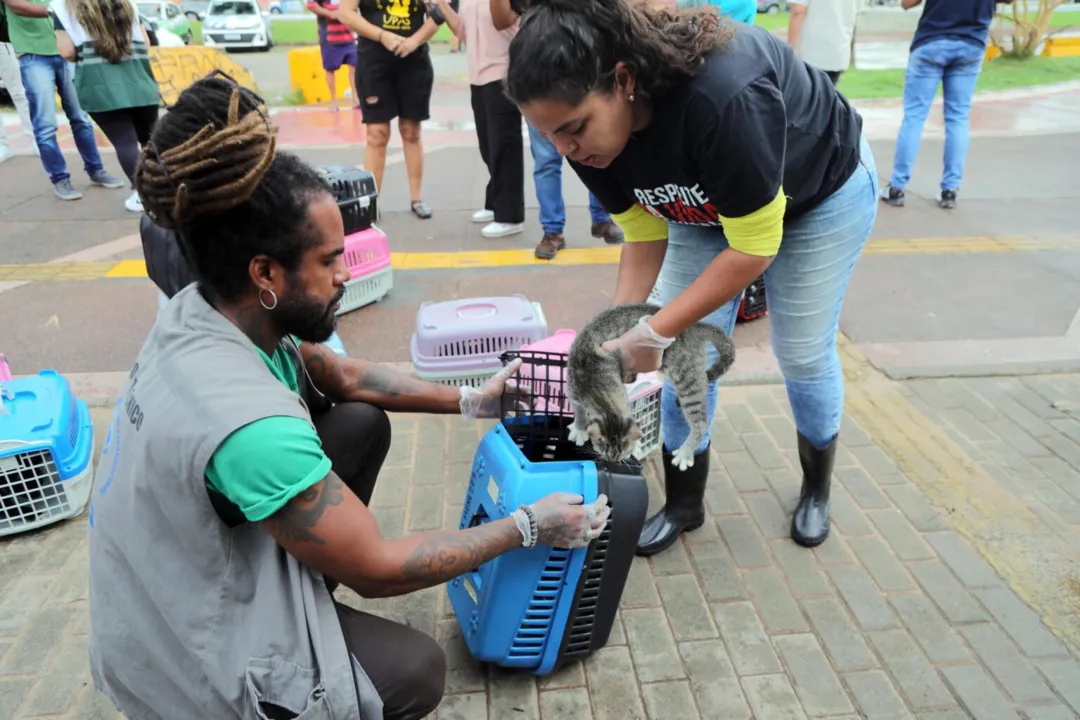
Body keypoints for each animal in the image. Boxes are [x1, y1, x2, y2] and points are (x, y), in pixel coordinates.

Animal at [565, 302, 734, 468]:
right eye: (603, 448)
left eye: (623, 449)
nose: (614, 460)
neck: (593, 382)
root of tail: (695, 326)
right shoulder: (573, 392)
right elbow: (579, 413)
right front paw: (579, 428)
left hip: (688, 381)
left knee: (702, 423)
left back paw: (685, 452)